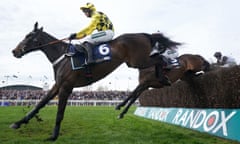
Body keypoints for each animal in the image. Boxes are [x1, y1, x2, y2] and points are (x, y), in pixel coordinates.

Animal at [10, 22, 209, 141]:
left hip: (138, 61)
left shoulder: (66, 86)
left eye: (28, 36)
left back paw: (167, 75)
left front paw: (54, 135)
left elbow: (59, 113)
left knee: (159, 60)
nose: (14, 51)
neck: (63, 56)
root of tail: (143, 34)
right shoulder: (57, 86)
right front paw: (19, 122)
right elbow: (40, 103)